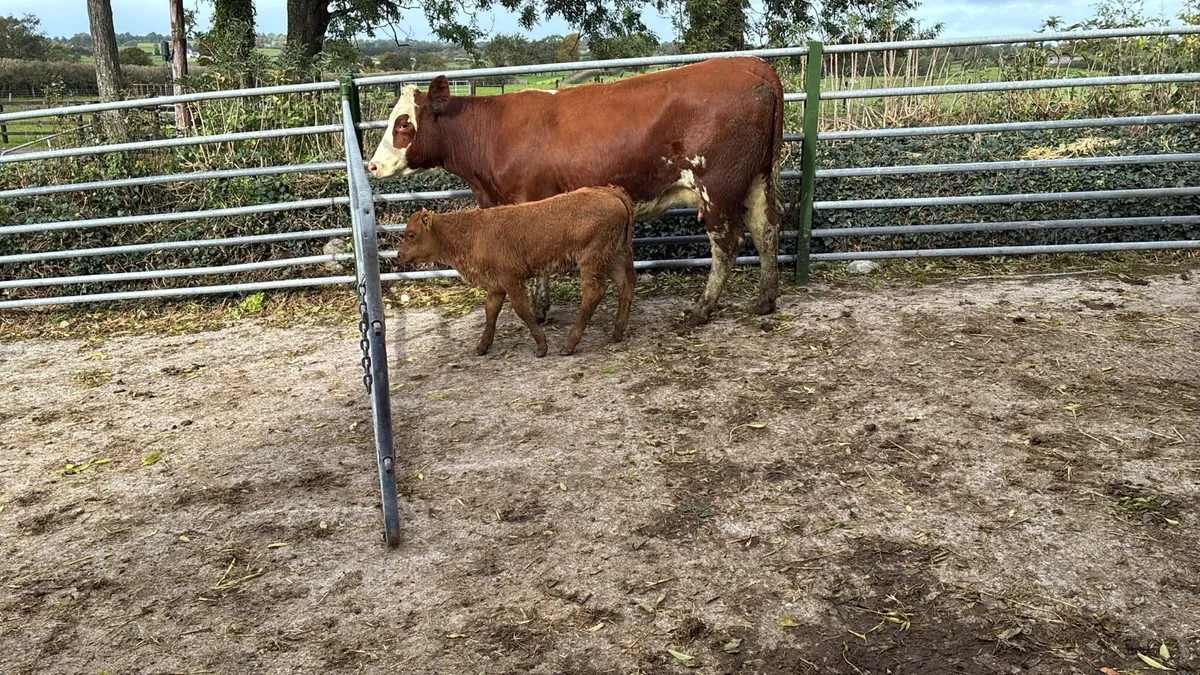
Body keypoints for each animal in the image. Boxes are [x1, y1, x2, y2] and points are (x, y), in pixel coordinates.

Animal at [368, 57, 785, 327]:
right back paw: (764, 300)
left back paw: (702, 309)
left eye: (404, 124)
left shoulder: (529, 199)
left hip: (717, 185)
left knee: (727, 243)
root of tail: (751, 64)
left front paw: (538, 310)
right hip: (755, 181)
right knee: (766, 229)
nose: (372, 165)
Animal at [397, 186, 637, 357]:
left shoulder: (511, 278)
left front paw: (541, 346)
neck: (472, 232)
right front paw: (482, 346)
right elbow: (490, 311)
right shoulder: (495, 285)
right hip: (614, 256)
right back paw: (617, 333)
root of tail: (610, 193)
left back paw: (569, 344)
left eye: (411, 234)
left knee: (593, 294)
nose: (399, 255)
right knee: (626, 284)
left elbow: (522, 309)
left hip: (592, 260)